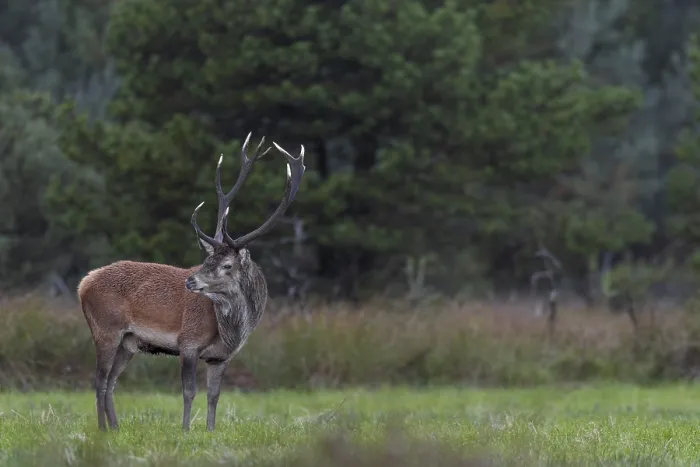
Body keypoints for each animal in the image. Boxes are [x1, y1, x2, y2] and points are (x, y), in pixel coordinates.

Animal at [77, 133, 305, 432]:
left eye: (226, 265)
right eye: (207, 260)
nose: (190, 280)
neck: (231, 331)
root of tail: (83, 284)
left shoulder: (221, 357)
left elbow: (214, 395)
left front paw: (210, 430)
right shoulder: (188, 342)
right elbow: (189, 391)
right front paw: (185, 430)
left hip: (128, 341)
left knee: (112, 382)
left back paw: (115, 429)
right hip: (106, 329)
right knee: (100, 381)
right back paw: (103, 429)